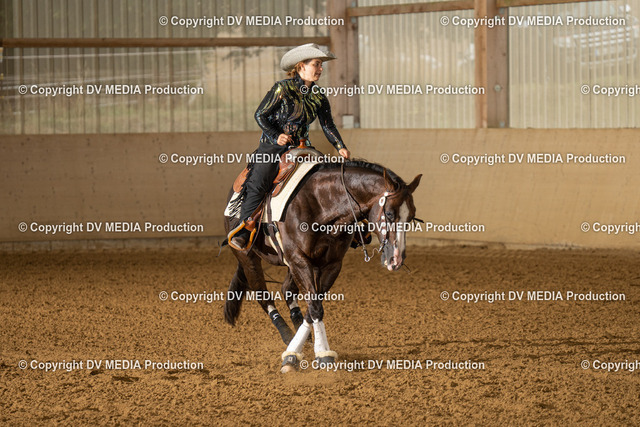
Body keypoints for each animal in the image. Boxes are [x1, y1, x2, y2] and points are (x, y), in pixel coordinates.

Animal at [223, 160, 422, 373]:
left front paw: (304, 350)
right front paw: (314, 355)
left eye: (411, 217)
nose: (396, 259)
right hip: (248, 258)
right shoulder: (299, 259)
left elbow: (313, 306)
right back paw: (287, 335)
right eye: (390, 213)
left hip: (291, 265)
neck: (320, 204)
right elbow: (315, 306)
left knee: (287, 291)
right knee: (264, 297)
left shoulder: (330, 264)